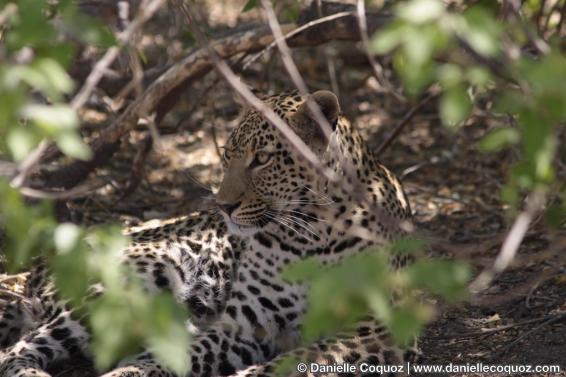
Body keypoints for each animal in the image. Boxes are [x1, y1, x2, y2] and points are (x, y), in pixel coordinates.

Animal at [0, 89, 418, 376]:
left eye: (262, 158)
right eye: (227, 156)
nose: (224, 205)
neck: (310, 235)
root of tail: (43, 262)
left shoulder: (371, 329)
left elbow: (288, 363)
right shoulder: (245, 323)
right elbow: (192, 351)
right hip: (134, 284)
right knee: (18, 348)